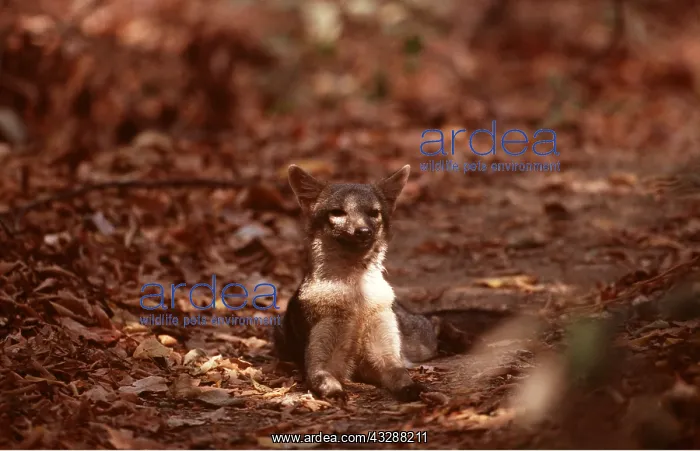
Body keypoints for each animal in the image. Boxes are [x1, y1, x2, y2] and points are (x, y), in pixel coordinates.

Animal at [274, 164, 439, 402]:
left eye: (374, 213)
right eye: (337, 212)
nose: (363, 231)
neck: (357, 296)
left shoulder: (383, 356)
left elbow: (400, 373)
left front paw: (413, 388)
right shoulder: (320, 361)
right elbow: (323, 378)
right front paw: (336, 392)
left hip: (419, 345)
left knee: (435, 322)